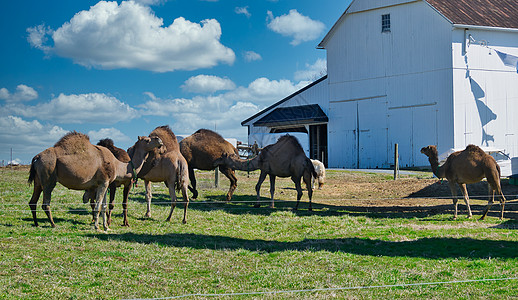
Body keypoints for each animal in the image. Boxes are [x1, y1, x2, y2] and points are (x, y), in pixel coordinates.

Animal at [26, 131, 165, 230]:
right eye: (147, 140)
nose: (159, 140)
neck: (118, 165)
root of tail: (36, 157)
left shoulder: (103, 184)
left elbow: (103, 206)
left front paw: (106, 226)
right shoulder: (104, 182)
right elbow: (98, 205)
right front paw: (97, 226)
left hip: (38, 180)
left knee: (32, 201)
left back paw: (37, 224)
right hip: (48, 176)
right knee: (45, 203)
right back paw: (53, 224)